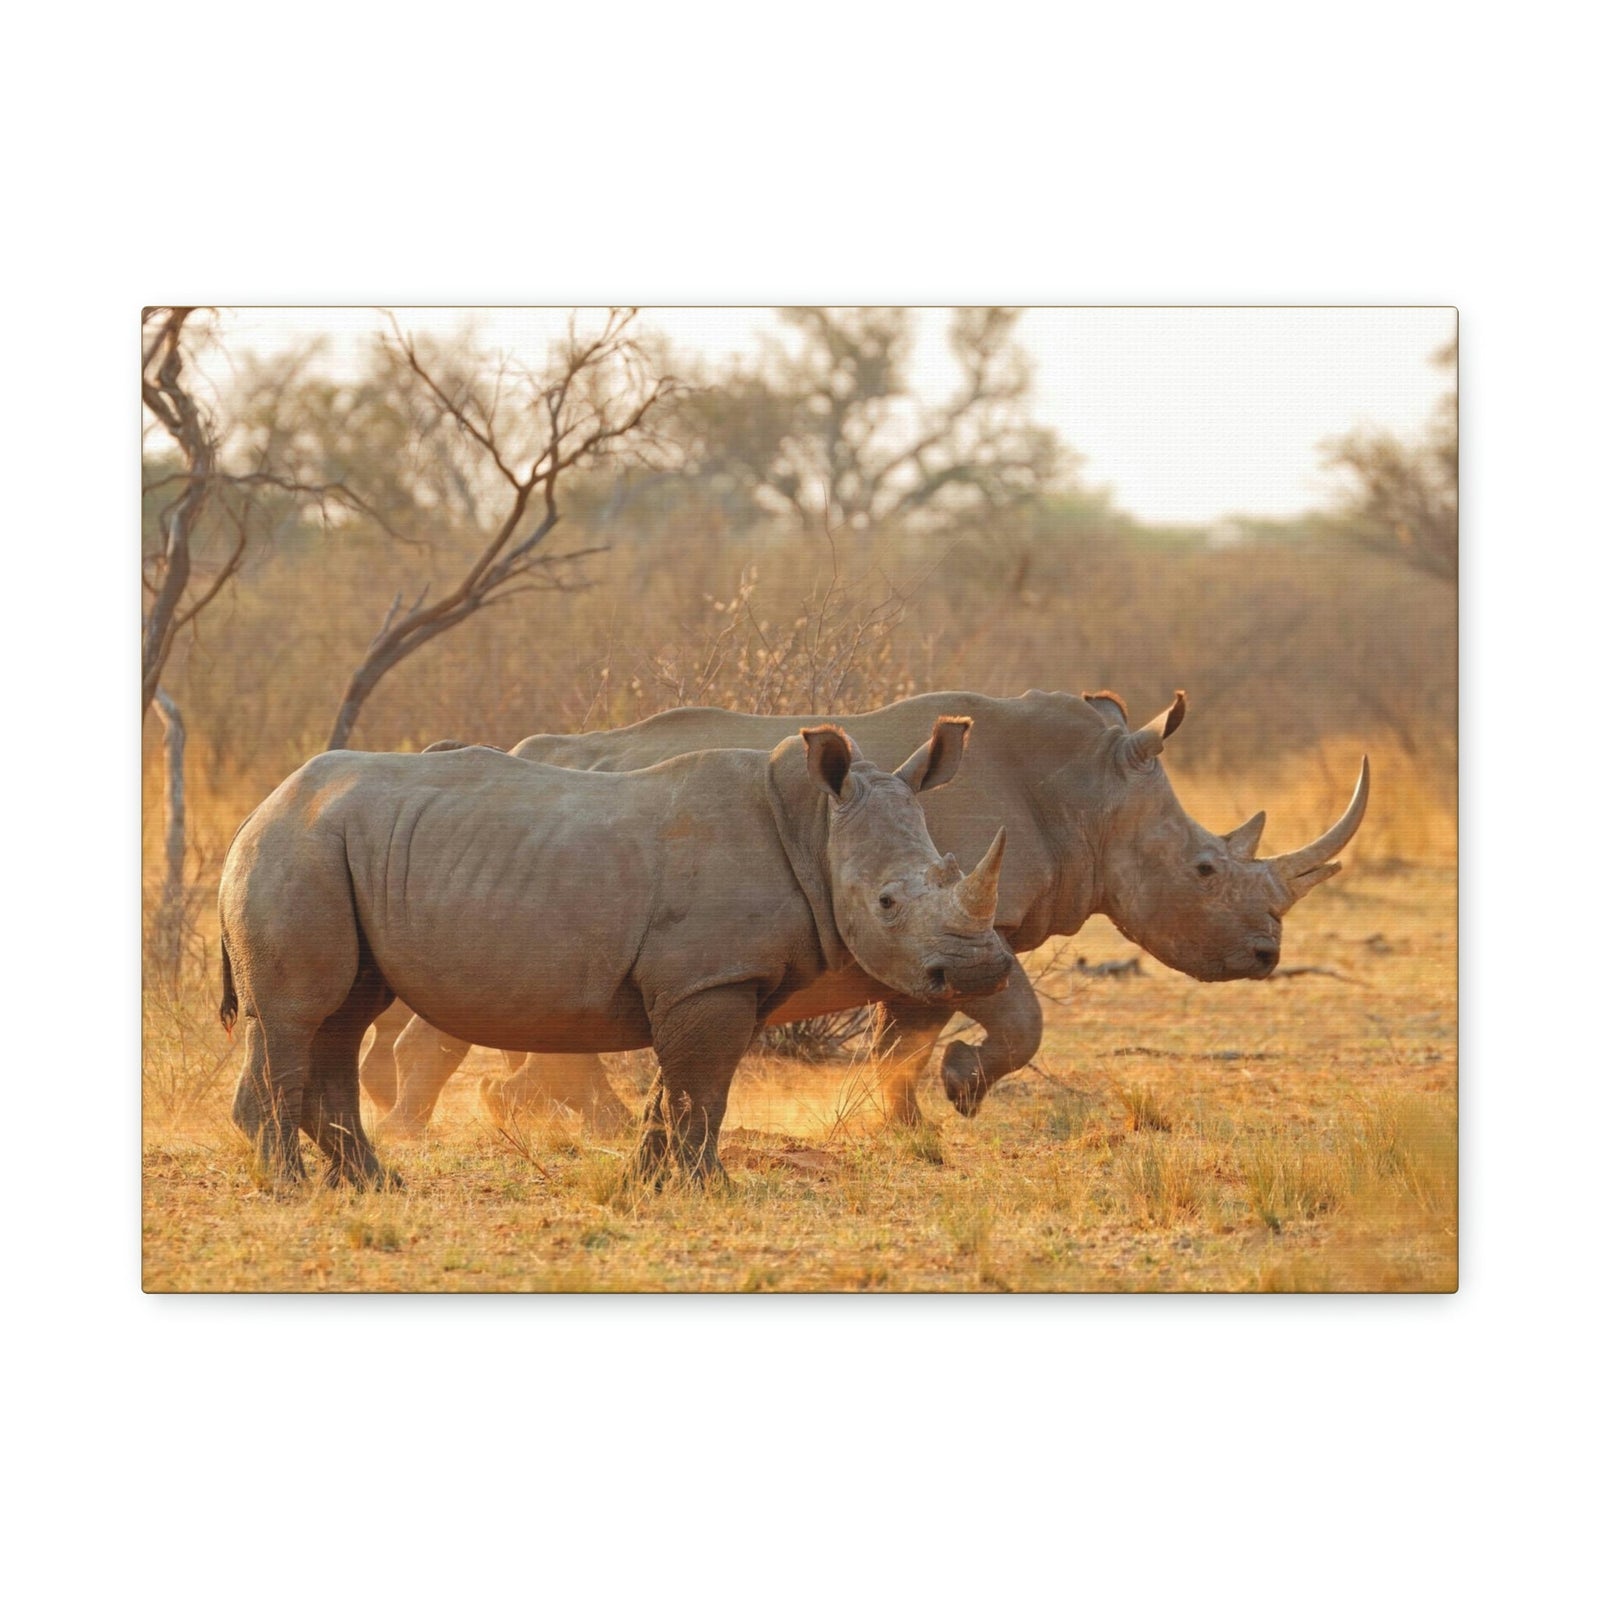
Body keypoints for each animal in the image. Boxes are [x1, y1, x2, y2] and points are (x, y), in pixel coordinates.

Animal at [218, 718, 1010, 1187]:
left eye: (948, 869)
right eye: (887, 903)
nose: (982, 969)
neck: (814, 825)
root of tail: (261, 806)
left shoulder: (722, 980)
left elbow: (683, 1088)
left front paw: (650, 1185)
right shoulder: (708, 979)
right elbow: (702, 1088)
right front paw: (709, 1190)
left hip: (330, 849)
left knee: (343, 1015)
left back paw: (373, 1184)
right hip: (297, 850)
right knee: (297, 1016)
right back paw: (291, 1188)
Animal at [362, 689, 1368, 1136]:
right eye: (1205, 868)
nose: (1267, 953)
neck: (1088, 792)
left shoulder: (937, 931)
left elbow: (905, 1034)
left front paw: (897, 1119)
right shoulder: (972, 924)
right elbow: (1012, 1018)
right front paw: (957, 1094)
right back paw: (426, 1128)